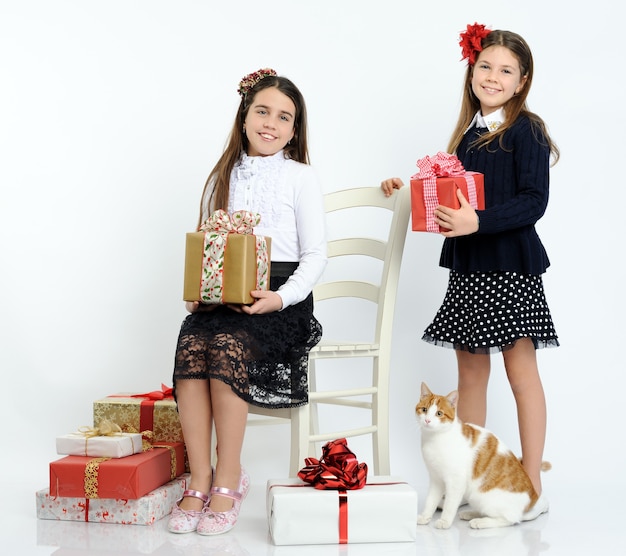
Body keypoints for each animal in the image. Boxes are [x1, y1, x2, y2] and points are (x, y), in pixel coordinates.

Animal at [414, 382, 544, 528]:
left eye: (439, 413)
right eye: (424, 409)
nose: (427, 421)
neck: (434, 438)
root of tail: (532, 498)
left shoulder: (456, 481)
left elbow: (449, 505)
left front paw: (445, 521)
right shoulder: (436, 479)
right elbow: (430, 500)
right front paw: (425, 517)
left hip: (484, 498)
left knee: (508, 519)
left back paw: (481, 522)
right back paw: (471, 513)